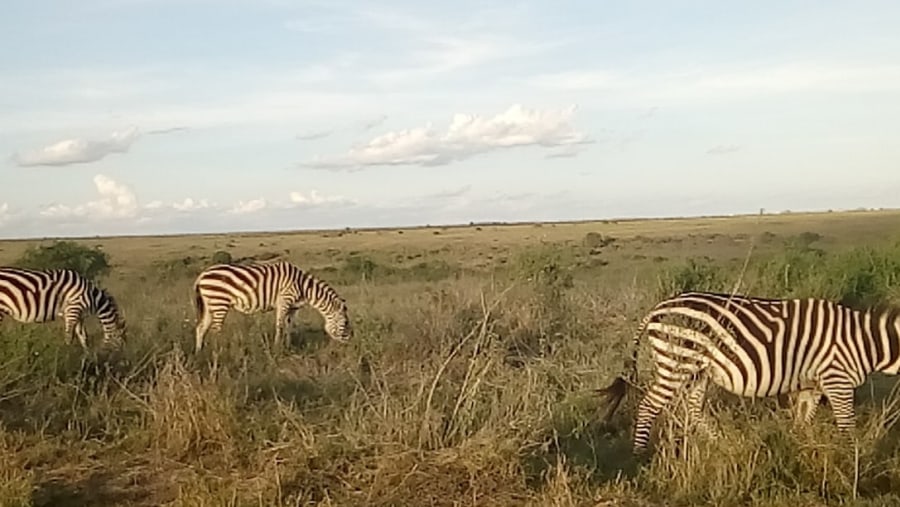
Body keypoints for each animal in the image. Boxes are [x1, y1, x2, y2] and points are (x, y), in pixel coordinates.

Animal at [192, 260, 352, 352]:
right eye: (345, 323)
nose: (349, 343)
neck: (304, 288)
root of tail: (202, 274)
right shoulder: (284, 301)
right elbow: (280, 325)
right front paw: (277, 348)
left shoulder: (293, 307)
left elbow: (290, 326)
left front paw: (288, 347)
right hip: (219, 302)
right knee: (215, 329)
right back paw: (219, 351)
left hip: (210, 304)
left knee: (201, 328)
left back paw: (199, 352)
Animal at [596, 292, 900, 454]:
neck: (868, 342)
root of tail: (658, 308)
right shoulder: (837, 379)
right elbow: (847, 426)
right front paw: (852, 459)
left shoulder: (812, 384)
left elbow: (803, 420)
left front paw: (798, 449)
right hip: (678, 363)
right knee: (649, 405)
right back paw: (639, 454)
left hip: (697, 371)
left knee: (693, 409)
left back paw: (722, 445)